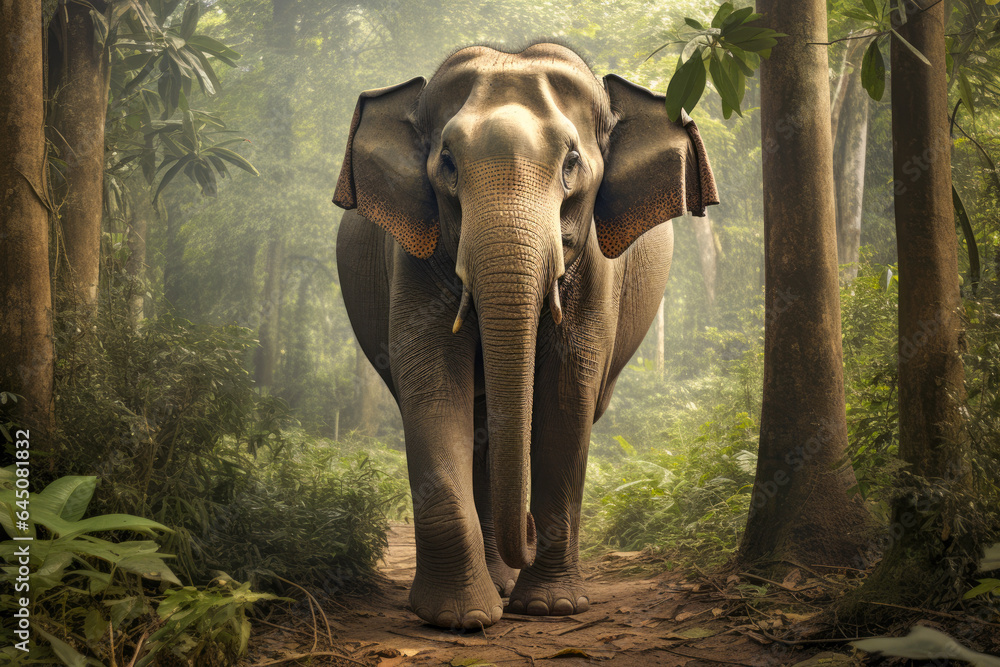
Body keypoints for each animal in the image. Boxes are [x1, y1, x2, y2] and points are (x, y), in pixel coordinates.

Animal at [333, 42, 718, 630]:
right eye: (447, 163)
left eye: (572, 162)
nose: (531, 536)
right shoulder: (415, 254)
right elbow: (434, 386)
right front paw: (458, 618)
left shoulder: (596, 269)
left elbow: (566, 398)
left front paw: (550, 607)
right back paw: (494, 585)